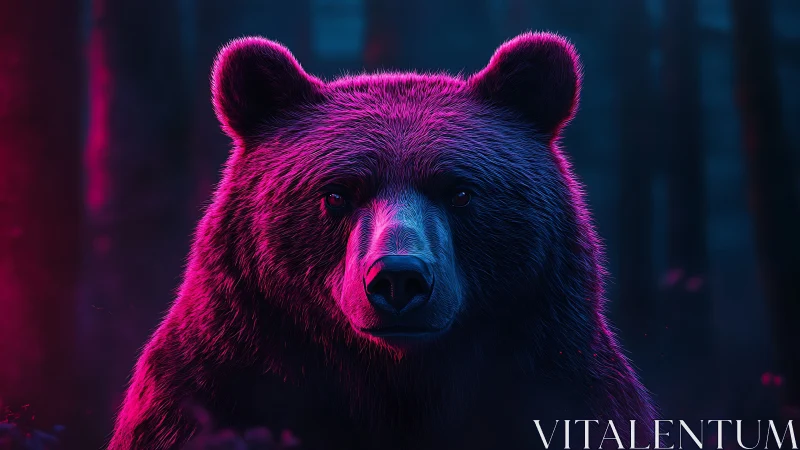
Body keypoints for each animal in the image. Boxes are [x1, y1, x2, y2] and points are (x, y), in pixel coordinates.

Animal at [109, 32, 656, 450]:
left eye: (460, 191)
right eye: (336, 193)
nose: (398, 279)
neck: (395, 383)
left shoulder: (558, 381)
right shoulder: (217, 386)